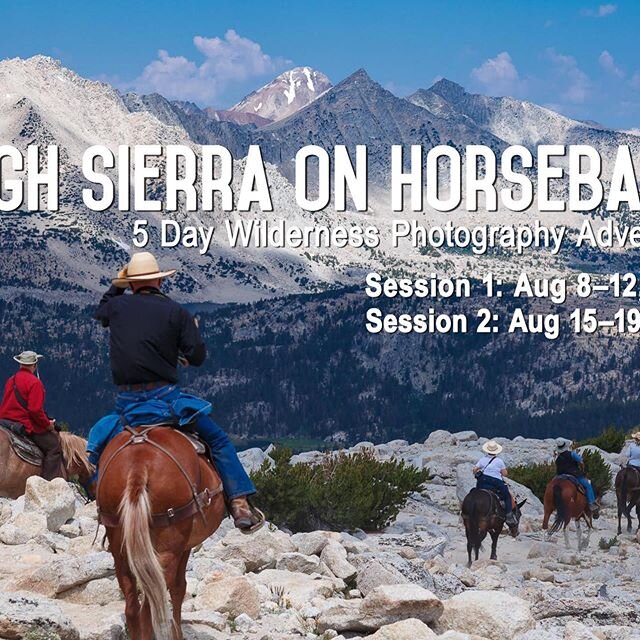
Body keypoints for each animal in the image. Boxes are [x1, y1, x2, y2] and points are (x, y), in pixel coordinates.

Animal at [95, 424, 225, 640]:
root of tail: (139, 463)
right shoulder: (184, 547)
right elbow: (179, 588)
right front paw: (177, 634)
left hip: (119, 543)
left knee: (132, 607)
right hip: (168, 547)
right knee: (149, 608)